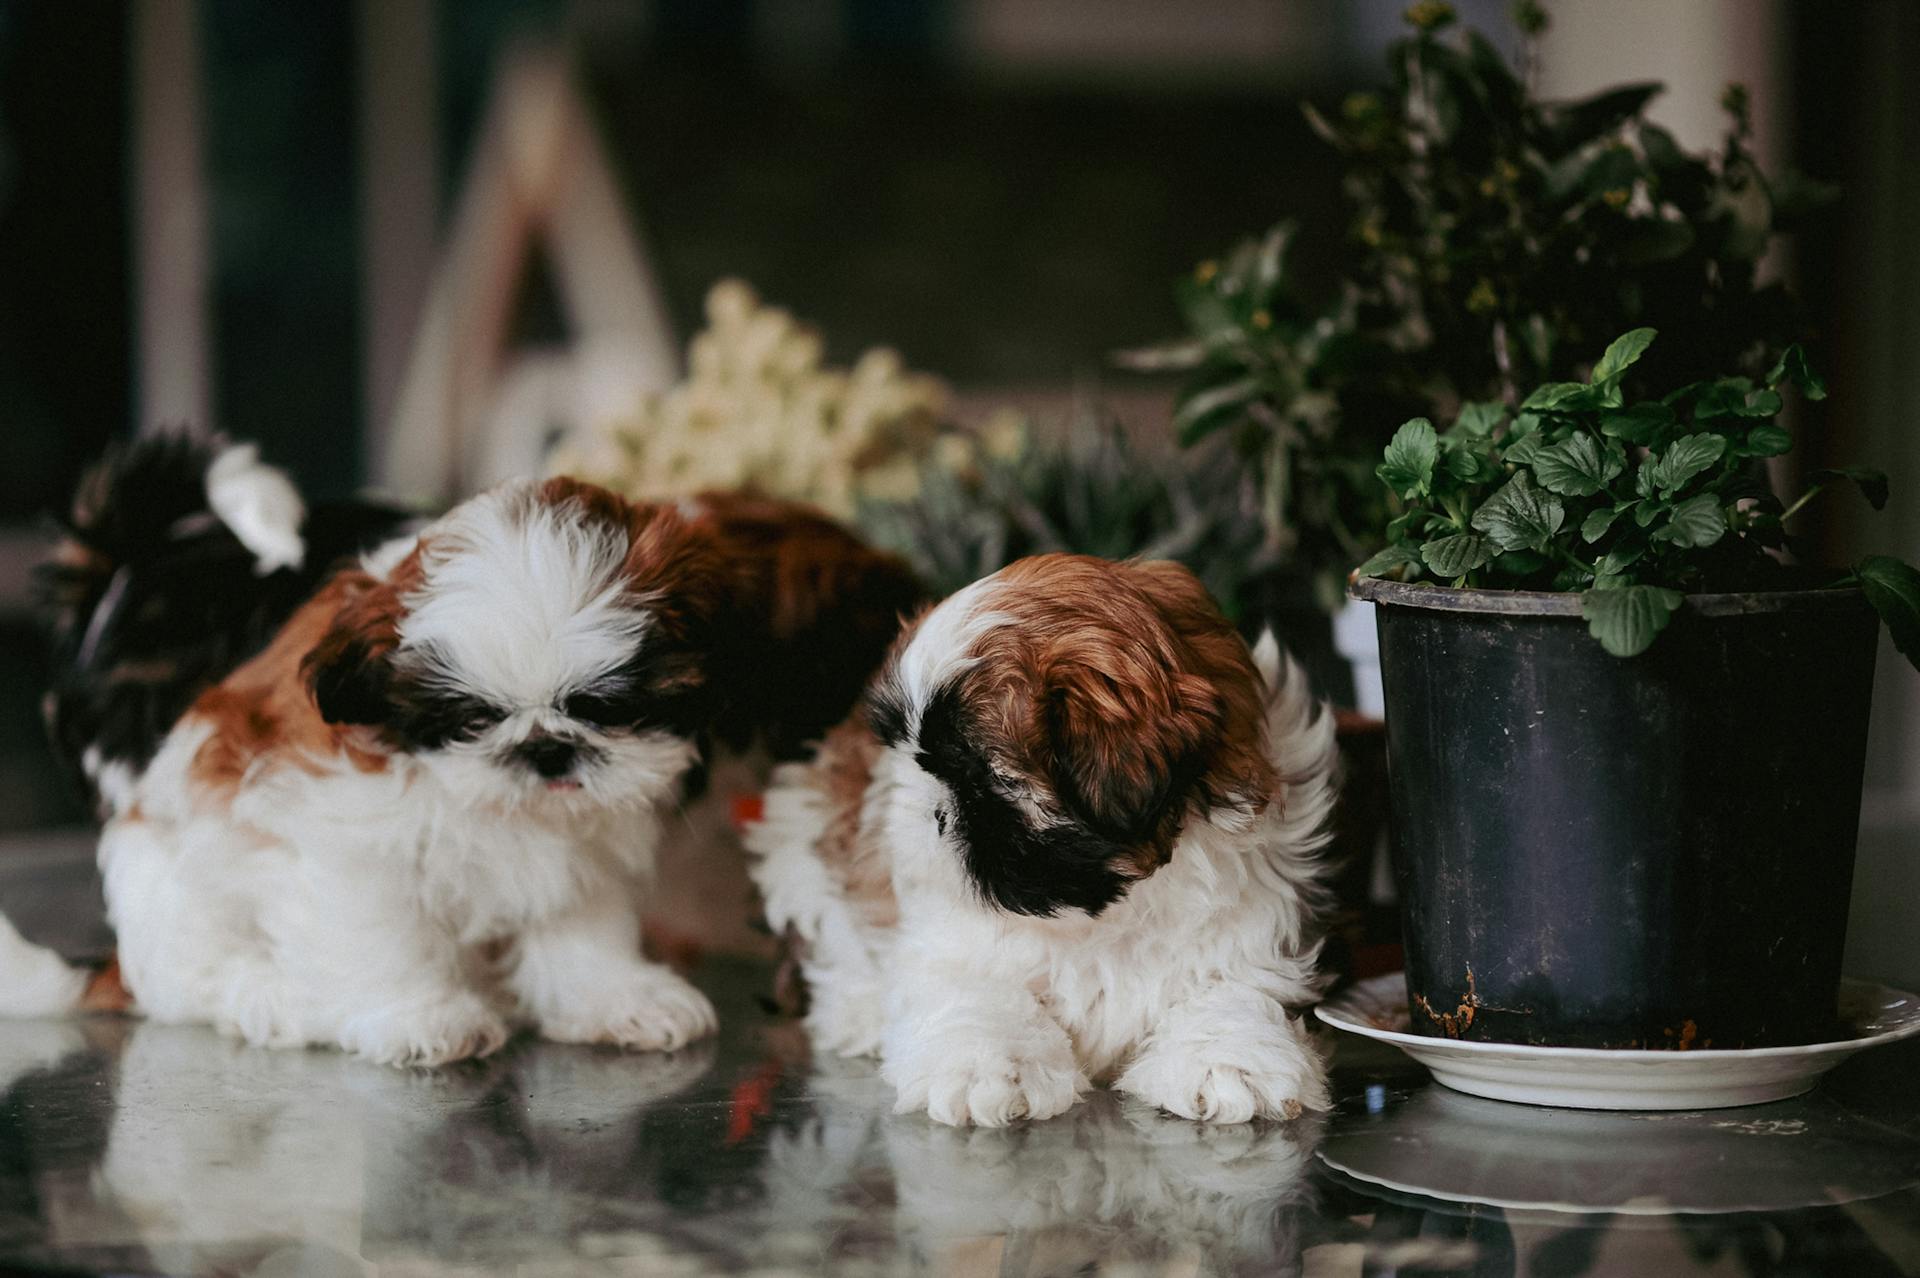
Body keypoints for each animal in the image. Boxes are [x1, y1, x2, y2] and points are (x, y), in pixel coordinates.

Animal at [1, 462, 913, 1059]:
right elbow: (379, 929)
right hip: (173, 889)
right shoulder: (346, 838)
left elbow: (581, 921)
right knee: (192, 979)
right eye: (472, 718)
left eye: (609, 707)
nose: (546, 748)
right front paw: (419, 1017)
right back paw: (276, 998)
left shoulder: (582, 840)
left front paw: (614, 998)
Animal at [744, 552, 1336, 1120]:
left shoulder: (1243, 927)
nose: (927, 808)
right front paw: (989, 1067)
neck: (1101, 915)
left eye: (981, 774)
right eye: (916, 756)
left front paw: (1227, 1059)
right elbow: (977, 988)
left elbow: (1230, 989)